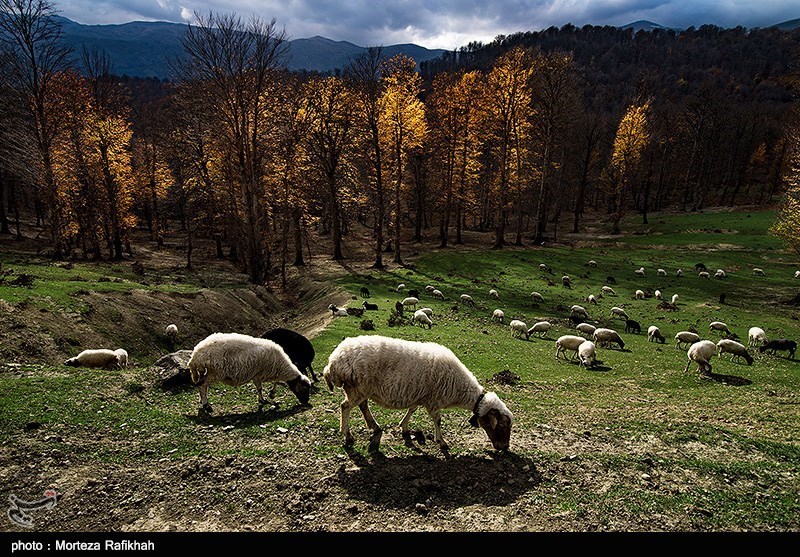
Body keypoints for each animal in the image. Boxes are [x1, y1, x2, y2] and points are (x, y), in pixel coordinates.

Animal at [324, 334, 512, 452]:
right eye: (501, 426)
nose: (505, 448)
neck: (460, 387)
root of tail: (334, 360)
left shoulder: (420, 395)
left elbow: (412, 409)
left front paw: (404, 427)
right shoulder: (434, 401)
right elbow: (438, 420)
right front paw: (441, 442)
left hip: (361, 389)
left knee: (362, 406)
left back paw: (374, 426)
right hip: (357, 388)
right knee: (345, 406)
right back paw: (347, 435)